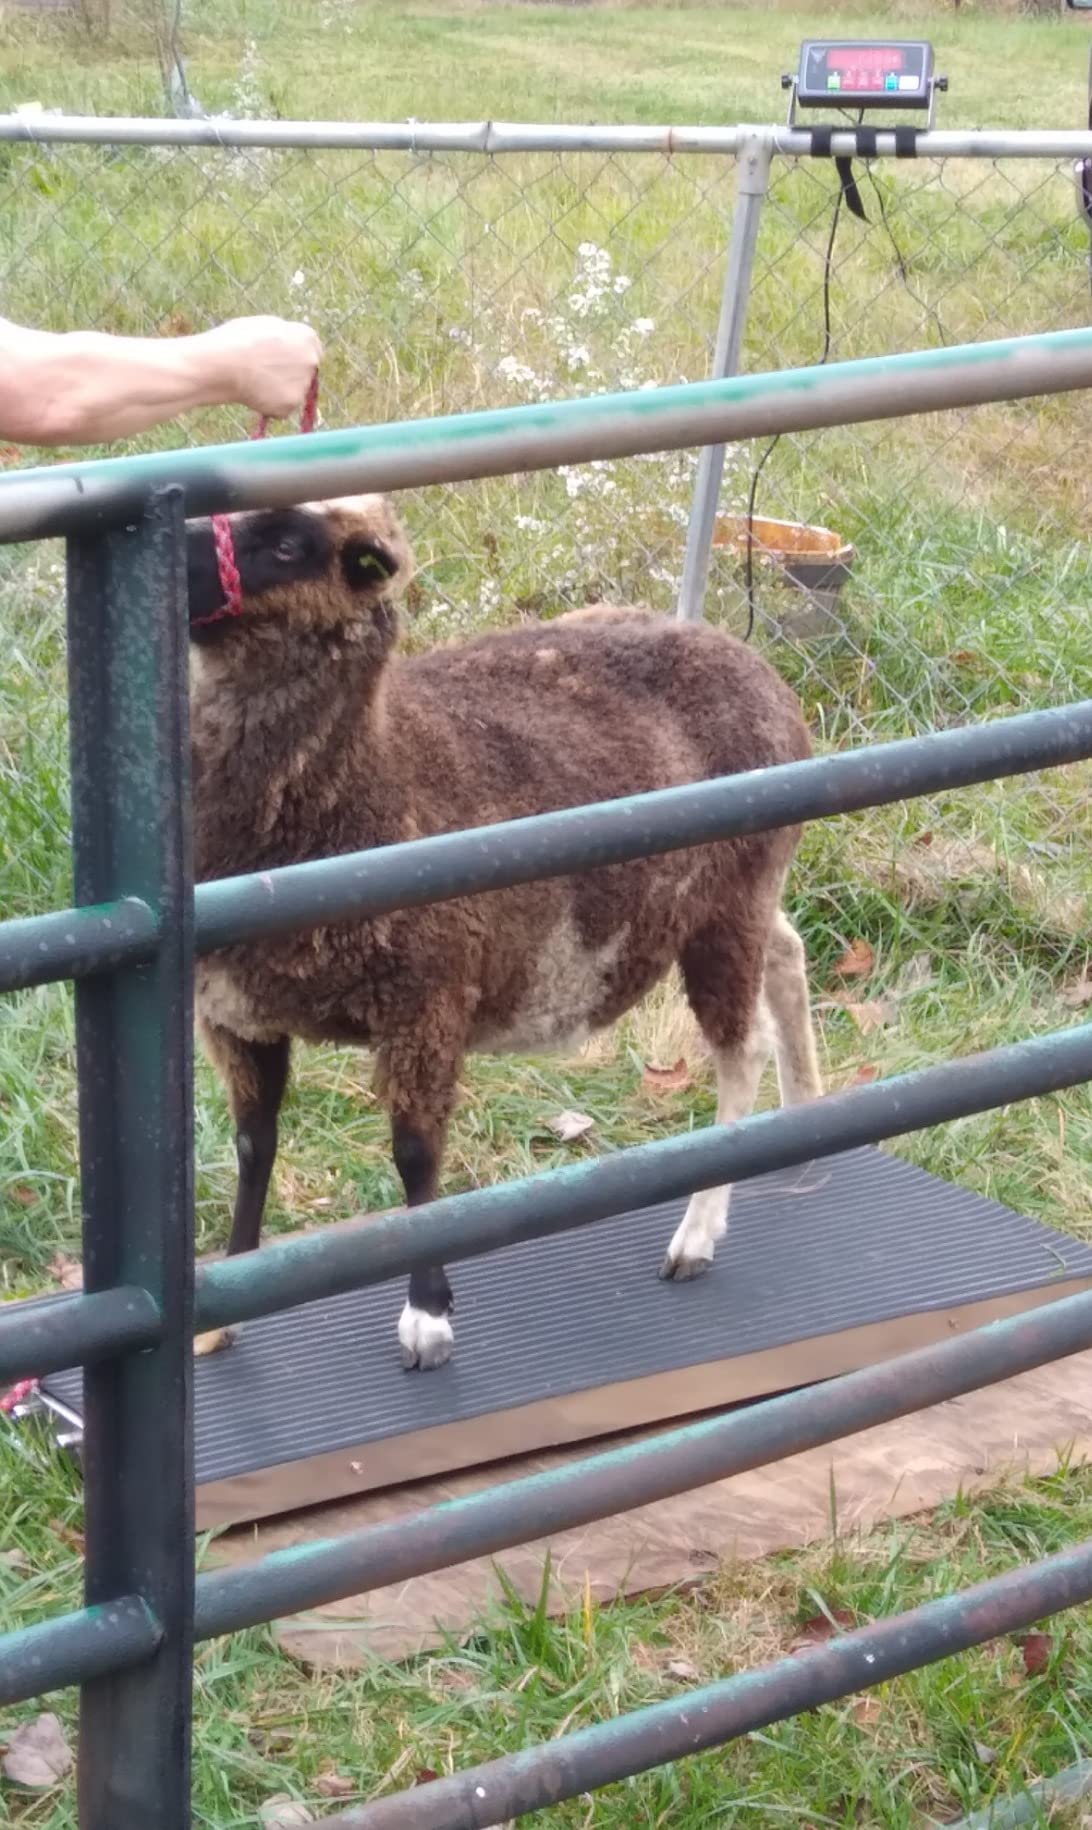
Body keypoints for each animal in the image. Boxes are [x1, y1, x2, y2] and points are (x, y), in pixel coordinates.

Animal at [184, 494, 822, 1370]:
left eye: (286, 545)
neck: (368, 776)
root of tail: (756, 665)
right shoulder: (235, 1012)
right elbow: (255, 1144)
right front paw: (222, 1313)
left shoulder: (426, 1000)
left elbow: (415, 1155)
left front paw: (427, 1316)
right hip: (745, 893)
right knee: (789, 953)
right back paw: (802, 1118)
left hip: (726, 906)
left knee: (742, 1047)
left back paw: (697, 1234)